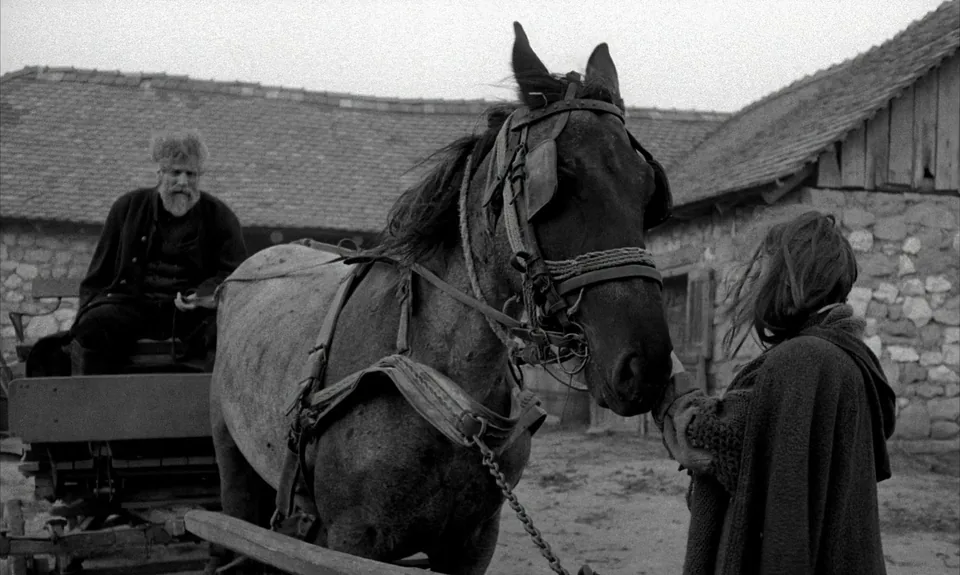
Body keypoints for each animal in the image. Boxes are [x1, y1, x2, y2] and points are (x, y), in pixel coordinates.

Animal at [209, 22, 675, 575]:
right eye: (561, 179)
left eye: (647, 188)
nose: (645, 366)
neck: (443, 378)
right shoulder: (349, 540)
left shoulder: (473, 541)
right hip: (233, 466)